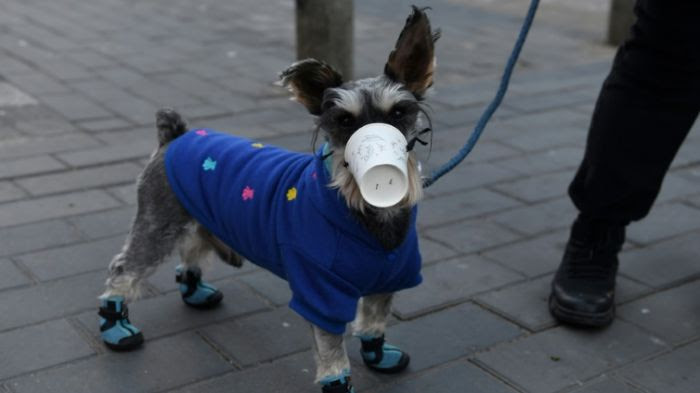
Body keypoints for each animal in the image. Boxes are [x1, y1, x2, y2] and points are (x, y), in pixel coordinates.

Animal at [96, 6, 440, 392]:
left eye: (398, 113)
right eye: (343, 121)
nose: (381, 173)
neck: (370, 221)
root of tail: (174, 136)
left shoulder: (389, 280)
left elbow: (374, 321)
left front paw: (379, 354)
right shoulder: (320, 293)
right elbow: (332, 352)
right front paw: (339, 382)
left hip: (194, 214)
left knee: (192, 247)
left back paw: (195, 291)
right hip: (158, 222)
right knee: (124, 269)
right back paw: (116, 327)